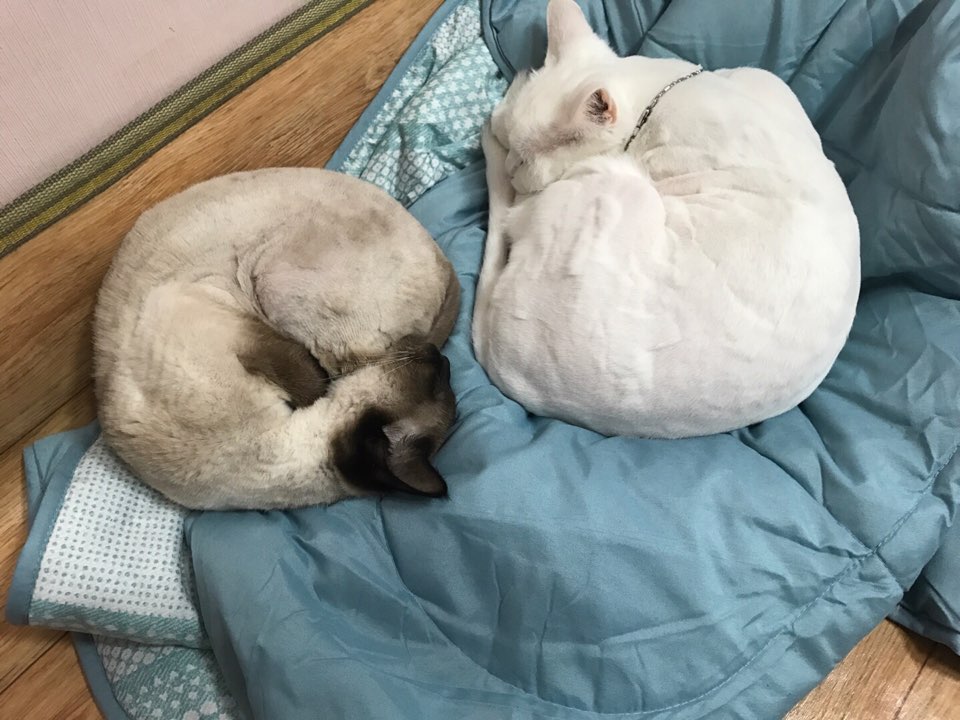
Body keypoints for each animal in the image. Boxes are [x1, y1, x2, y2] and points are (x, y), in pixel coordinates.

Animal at [94, 167, 460, 510]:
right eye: (437, 378)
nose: (440, 356)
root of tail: (446, 264)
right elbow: (311, 381)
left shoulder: (230, 327)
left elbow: (309, 379)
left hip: (274, 284)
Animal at [472, 0, 860, 438]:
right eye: (511, 147)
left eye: (523, 159)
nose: (508, 166)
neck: (657, 95)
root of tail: (505, 371)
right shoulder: (770, 84)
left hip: (614, 192)